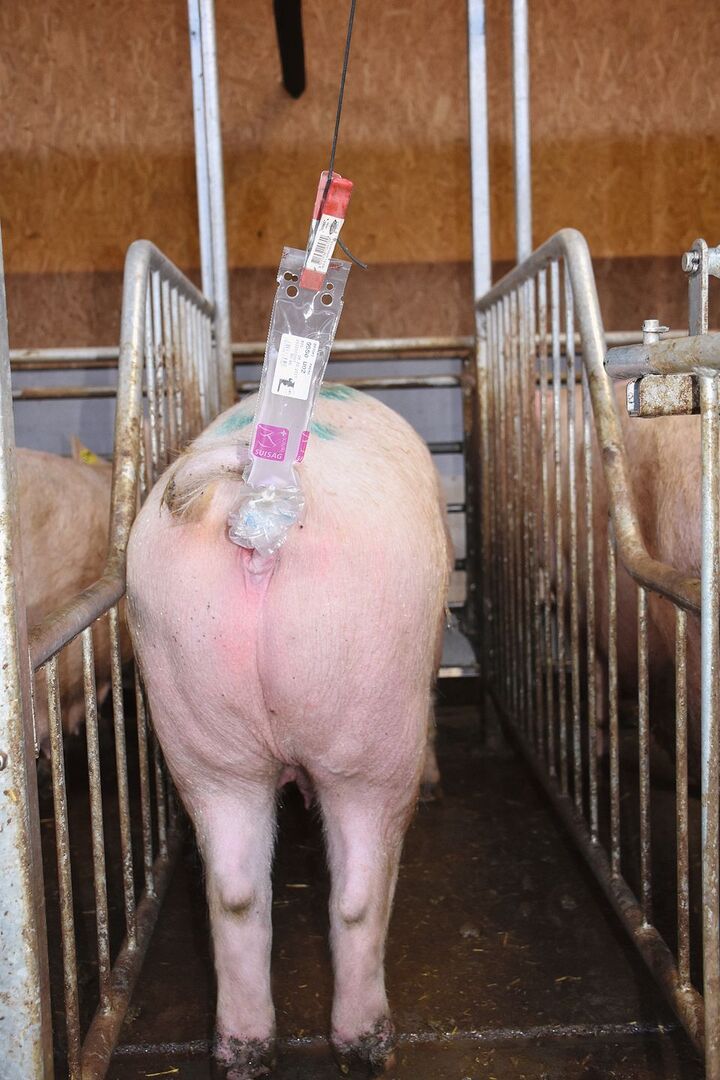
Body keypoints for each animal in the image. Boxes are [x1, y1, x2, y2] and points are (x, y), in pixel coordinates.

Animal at [126, 386, 452, 1078]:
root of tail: (251, 505)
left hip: (197, 723)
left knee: (236, 893)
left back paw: (244, 1053)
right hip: (375, 725)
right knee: (357, 893)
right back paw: (369, 1047)